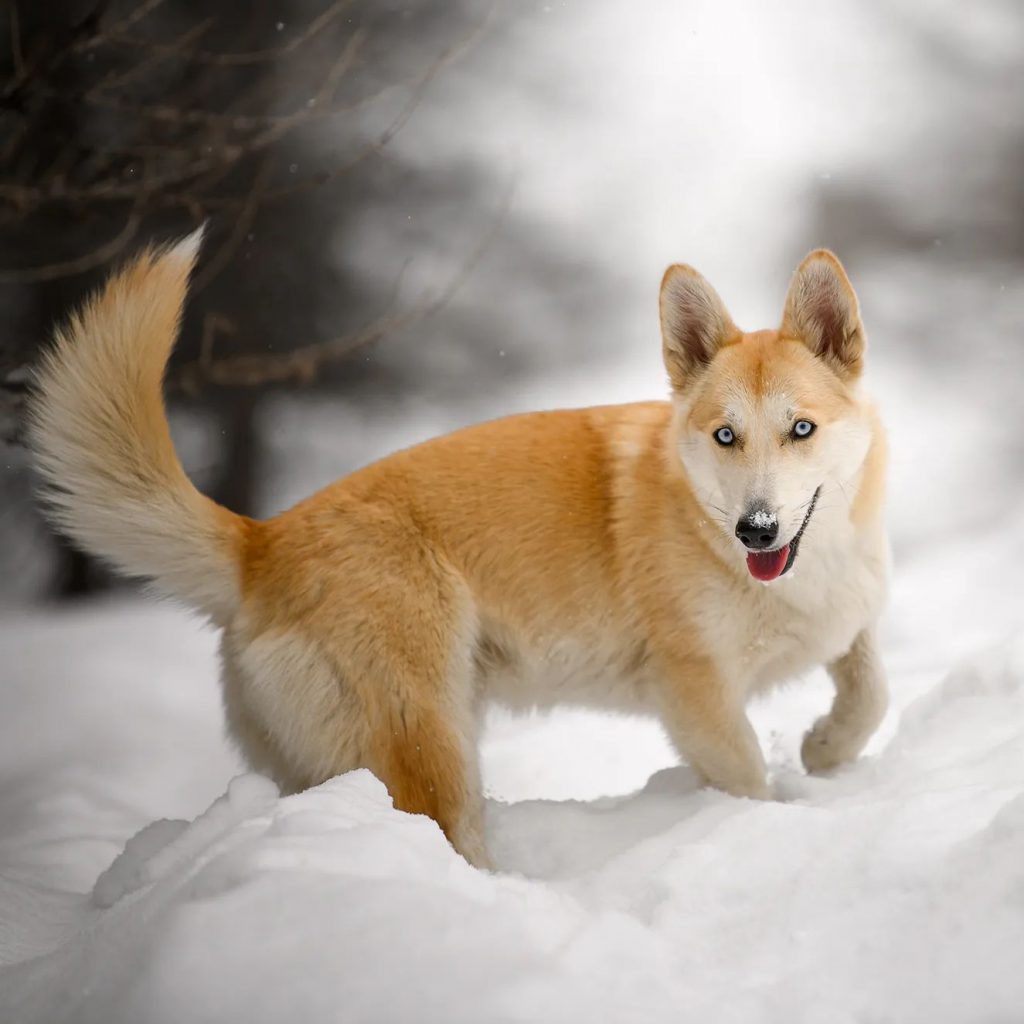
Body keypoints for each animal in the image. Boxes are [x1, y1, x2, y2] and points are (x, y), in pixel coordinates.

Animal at [29, 235, 888, 868]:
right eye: (725, 436)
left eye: (801, 429)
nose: (756, 529)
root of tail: (260, 543)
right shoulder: (696, 692)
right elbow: (749, 779)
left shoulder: (850, 615)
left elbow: (869, 689)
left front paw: (825, 749)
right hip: (429, 747)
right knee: (444, 839)